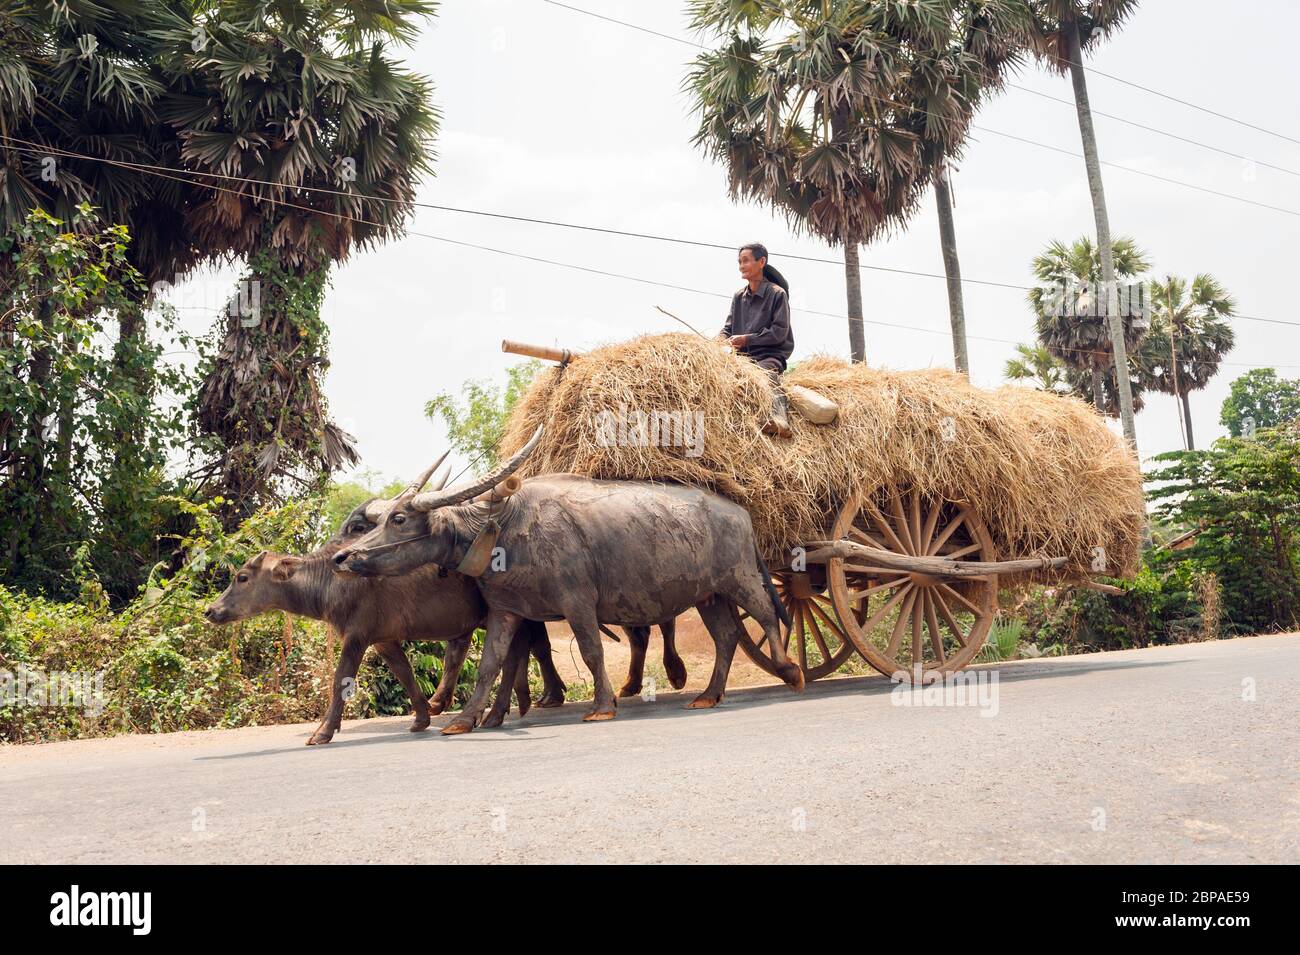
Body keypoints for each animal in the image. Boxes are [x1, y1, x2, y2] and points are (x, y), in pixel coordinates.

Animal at [332, 428, 800, 738]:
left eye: (398, 519)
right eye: (377, 518)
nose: (342, 558)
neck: (500, 529)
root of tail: (740, 512)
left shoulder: (578, 604)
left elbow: (592, 652)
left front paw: (603, 706)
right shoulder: (506, 611)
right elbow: (489, 665)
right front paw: (463, 720)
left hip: (740, 579)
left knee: (766, 615)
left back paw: (790, 670)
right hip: (709, 594)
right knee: (726, 636)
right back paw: (708, 694)